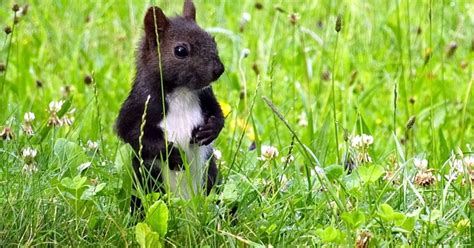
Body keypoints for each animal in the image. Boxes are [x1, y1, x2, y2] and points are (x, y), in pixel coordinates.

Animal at [115, 0, 225, 213]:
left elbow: (218, 114)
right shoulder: (139, 103)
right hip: (148, 179)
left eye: (213, 40)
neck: (181, 91)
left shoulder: (205, 96)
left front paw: (210, 129)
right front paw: (172, 154)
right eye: (180, 51)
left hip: (210, 176)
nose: (219, 70)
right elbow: (132, 133)